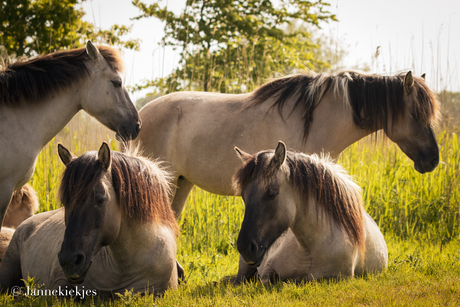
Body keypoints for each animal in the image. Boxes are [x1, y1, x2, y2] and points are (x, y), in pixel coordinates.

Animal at [230, 142, 388, 284]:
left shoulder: (340, 278)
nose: (245, 247)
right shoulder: (268, 270)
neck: (310, 250)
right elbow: (268, 280)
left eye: (272, 194)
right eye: (243, 196)